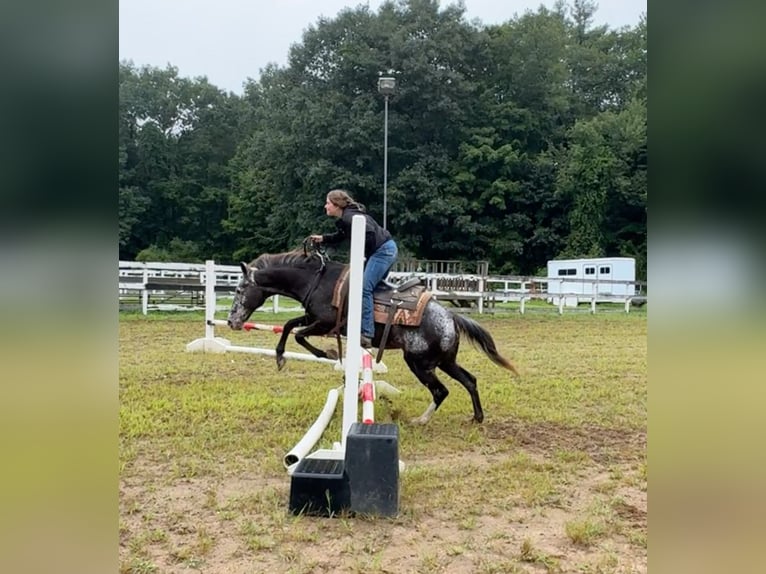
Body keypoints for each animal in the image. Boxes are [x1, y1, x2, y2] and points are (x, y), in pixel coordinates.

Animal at [225, 250, 520, 426]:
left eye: (239, 289)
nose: (231, 321)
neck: (317, 282)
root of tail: (450, 317)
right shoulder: (312, 319)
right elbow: (289, 326)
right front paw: (280, 357)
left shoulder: (326, 324)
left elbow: (299, 336)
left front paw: (329, 354)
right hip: (444, 361)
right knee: (470, 380)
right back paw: (477, 417)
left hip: (420, 363)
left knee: (441, 390)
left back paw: (420, 421)